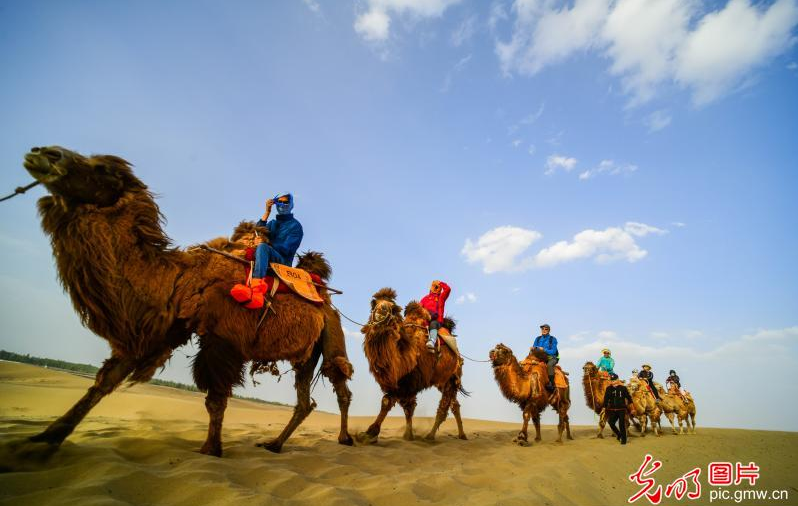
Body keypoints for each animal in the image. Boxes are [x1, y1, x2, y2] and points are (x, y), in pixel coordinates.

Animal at [20, 145, 354, 454]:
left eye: (103, 169)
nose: (43, 152)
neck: (179, 280)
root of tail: (326, 301)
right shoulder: (164, 327)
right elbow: (106, 379)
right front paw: (46, 438)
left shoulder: (223, 338)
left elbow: (215, 398)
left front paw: (211, 450)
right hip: (306, 355)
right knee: (305, 400)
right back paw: (274, 444)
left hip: (331, 332)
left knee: (339, 381)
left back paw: (345, 438)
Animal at [358, 288, 466, 442]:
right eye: (374, 303)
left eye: (392, 307)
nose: (381, 310)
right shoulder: (401, 383)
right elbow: (406, 408)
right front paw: (408, 435)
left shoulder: (410, 381)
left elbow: (390, 403)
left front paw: (369, 434)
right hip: (442, 380)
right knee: (454, 404)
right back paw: (462, 435)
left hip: (452, 378)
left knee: (443, 408)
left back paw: (430, 436)